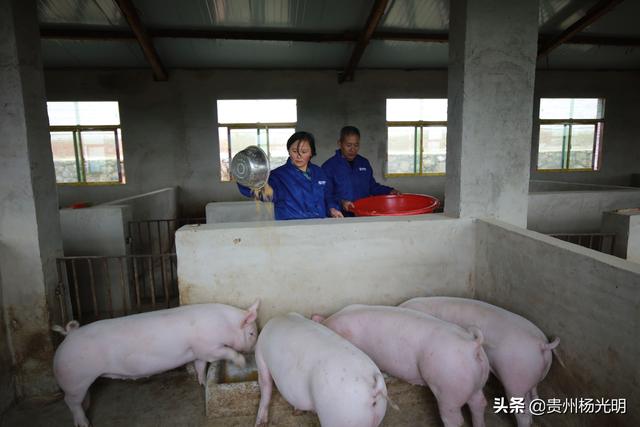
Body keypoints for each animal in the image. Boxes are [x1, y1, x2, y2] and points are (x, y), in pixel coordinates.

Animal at [51, 300, 258, 427]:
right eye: (251, 333)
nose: (253, 352)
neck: (226, 326)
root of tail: (68, 336)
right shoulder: (209, 347)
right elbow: (225, 352)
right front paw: (241, 362)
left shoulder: (198, 351)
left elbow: (200, 367)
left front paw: (202, 383)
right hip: (74, 378)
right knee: (70, 402)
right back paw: (84, 423)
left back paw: (86, 408)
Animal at [254, 310, 392, 427]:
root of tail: (374, 386)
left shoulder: (260, 356)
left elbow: (265, 385)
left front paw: (259, 423)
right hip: (375, 412)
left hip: (340, 415)